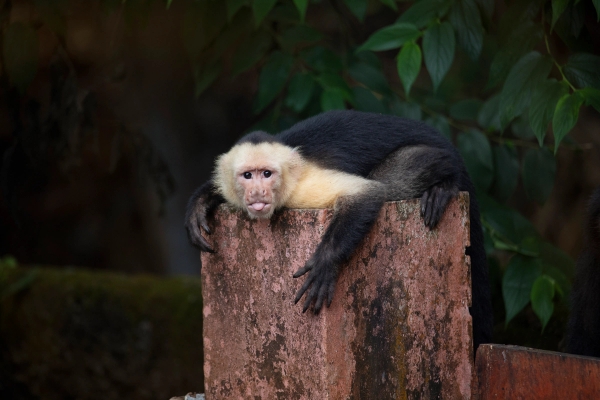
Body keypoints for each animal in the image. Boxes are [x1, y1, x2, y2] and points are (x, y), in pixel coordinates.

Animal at [185, 110, 492, 351]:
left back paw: (445, 186)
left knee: (401, 178)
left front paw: (325, 262)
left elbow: (367, 193)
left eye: (267, 174)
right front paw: (200, 204)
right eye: (247, 175)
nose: (257, 192)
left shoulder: (302, 188)